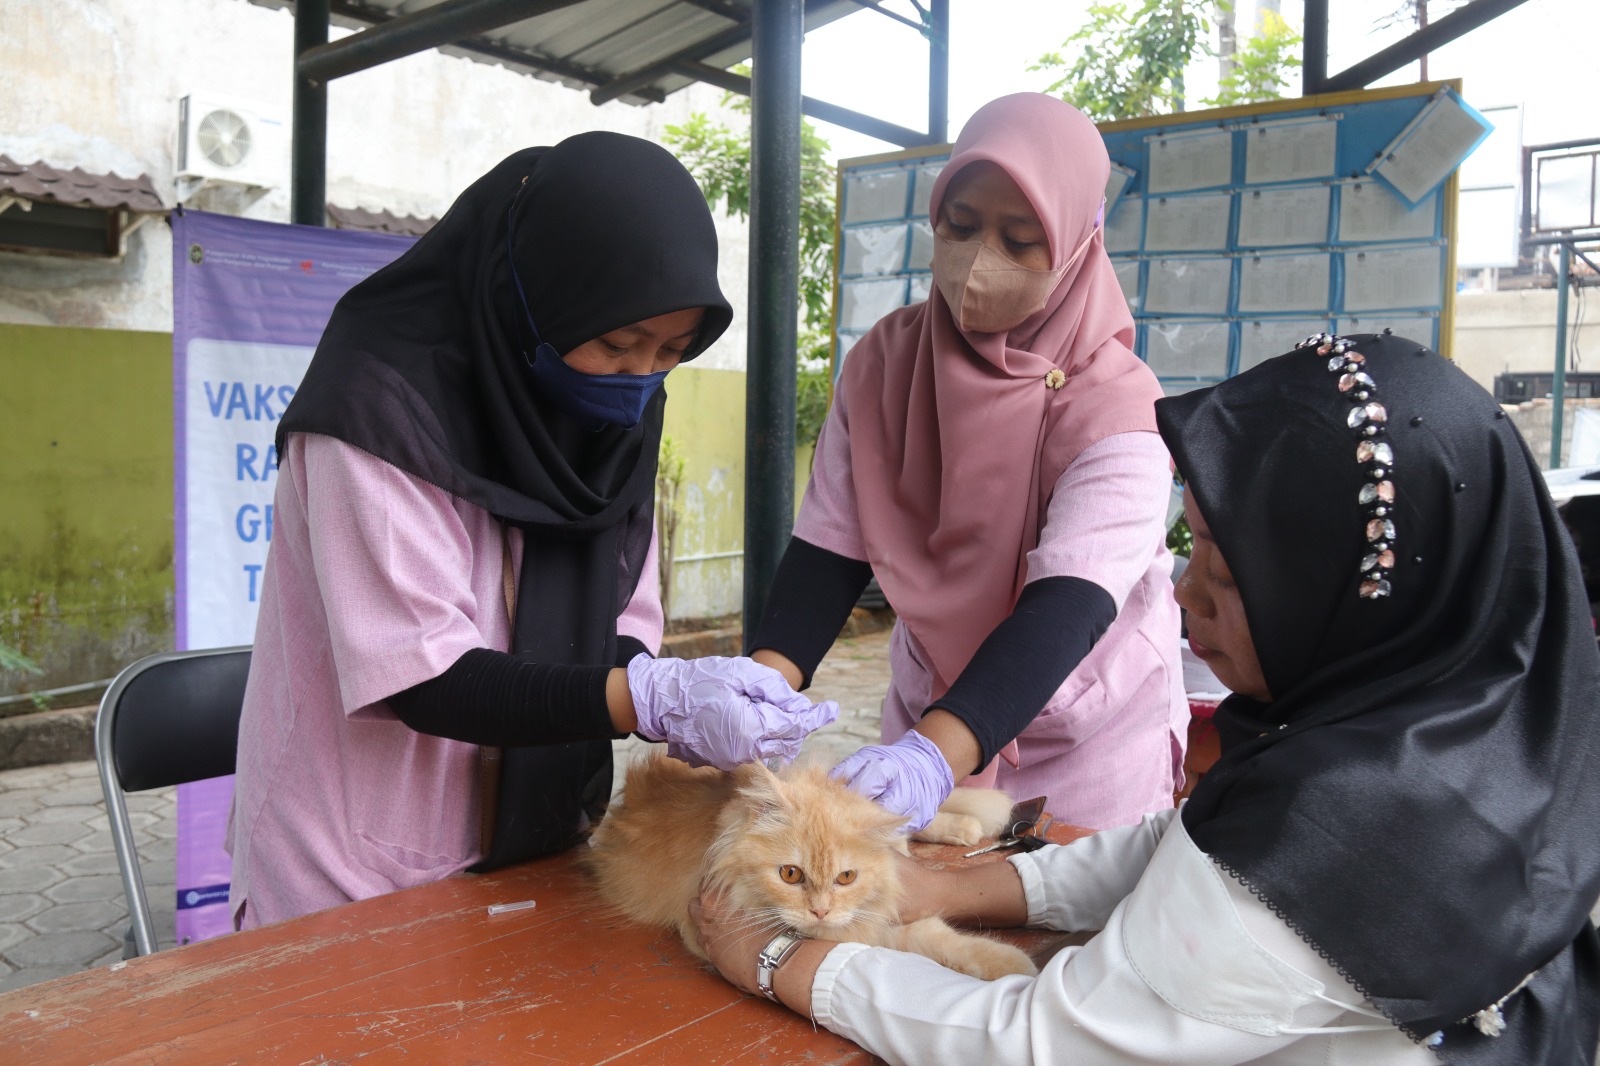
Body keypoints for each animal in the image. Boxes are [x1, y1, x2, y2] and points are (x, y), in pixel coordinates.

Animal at [588, 752, 1036, 973]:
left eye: (846, 877)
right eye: (790, 874)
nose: (820, 911)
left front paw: (1008, 964)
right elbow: (912, 937)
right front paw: (1013, 964)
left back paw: (965, 823)